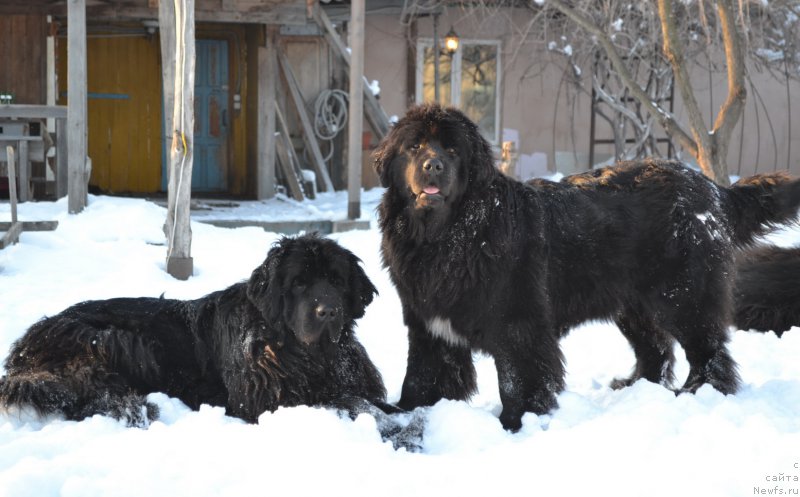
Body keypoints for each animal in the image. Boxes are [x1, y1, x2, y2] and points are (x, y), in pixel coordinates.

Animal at [0, 234, 396, 428]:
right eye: (299, 283)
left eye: (336, 281)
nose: (327, 311)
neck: (311, 356)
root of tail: (22, 349)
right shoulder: (267, 401)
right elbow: (348, 401)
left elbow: (370, 400)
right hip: (117, 339)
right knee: (84, 395)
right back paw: (135, 409)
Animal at [374, 101, 800, 430]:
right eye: (414, 147)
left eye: (453, 150)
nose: (433, 166)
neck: (447, 237)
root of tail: (713, 189)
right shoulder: (429, 324)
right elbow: (423, 374)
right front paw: (405, 409)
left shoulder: (518, 323)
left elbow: (517, 378)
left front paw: (516, 422)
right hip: (634, 305)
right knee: (657, 350)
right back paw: (633, 386)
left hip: (684, 296)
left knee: (708, 350)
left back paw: (697, 392)